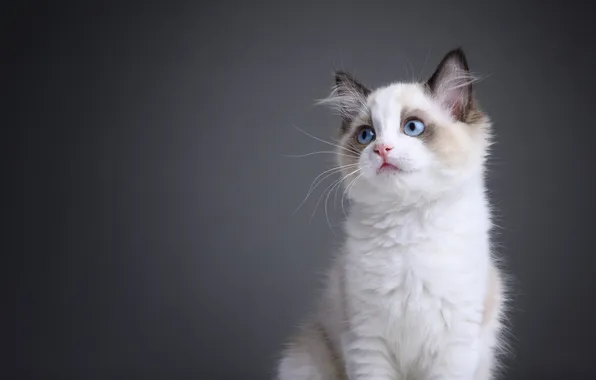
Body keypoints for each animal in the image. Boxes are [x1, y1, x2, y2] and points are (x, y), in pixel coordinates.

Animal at [278, 48, 508, 380]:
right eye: (366, 135)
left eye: (412, 128)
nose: (381, 149)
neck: (408, 221)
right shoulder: (367, 342)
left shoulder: (454, 347)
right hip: (304, 360)